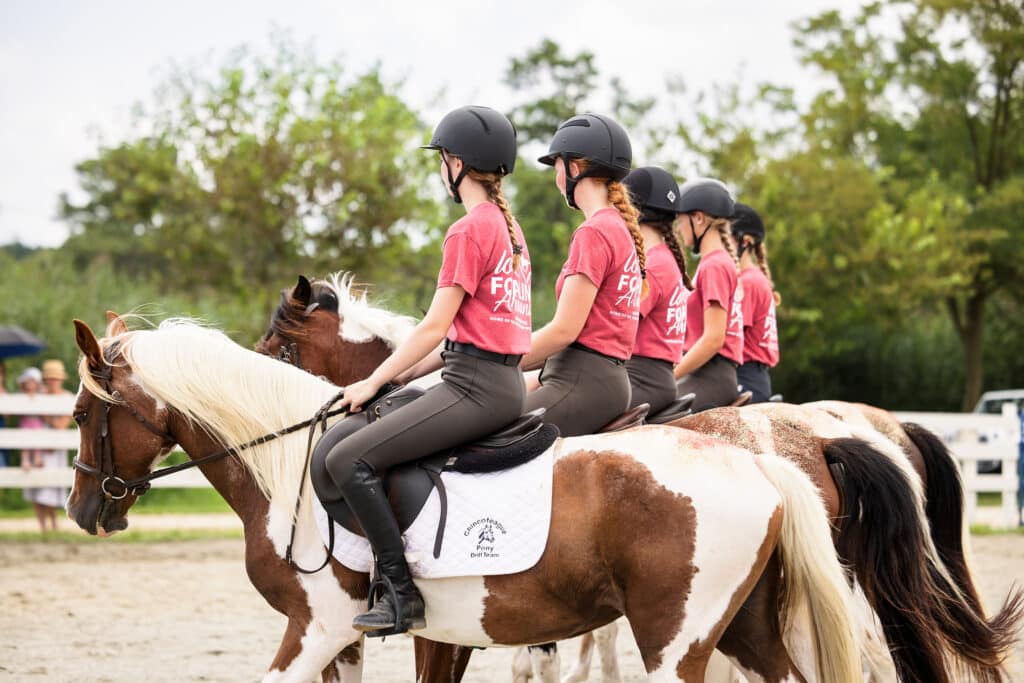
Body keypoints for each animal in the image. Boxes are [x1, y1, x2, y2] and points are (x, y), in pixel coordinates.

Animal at [66, 317, 864, 683]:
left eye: (78, 412)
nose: (83, 511)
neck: (287, 464)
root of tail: (760, 462)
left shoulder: (317, 626)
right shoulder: (372, 638)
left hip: (676, 643)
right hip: (746, 631)